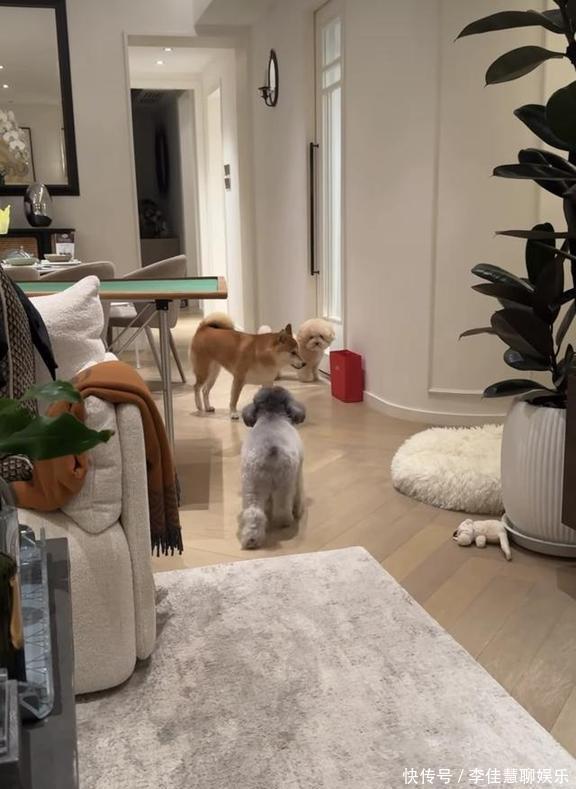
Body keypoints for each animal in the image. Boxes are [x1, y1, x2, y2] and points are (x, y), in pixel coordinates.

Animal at [238, 387, 305, 549]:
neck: (272, 415)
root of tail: (270, 453)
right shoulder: (298, 473)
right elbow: (299, 494)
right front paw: (298, 511)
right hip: (285, 484)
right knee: (282, 509)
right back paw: (286, 522)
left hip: (252, 485)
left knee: (254, 513)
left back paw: (252, 539)